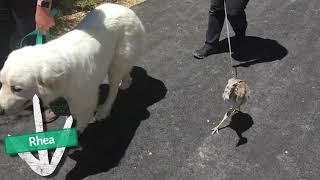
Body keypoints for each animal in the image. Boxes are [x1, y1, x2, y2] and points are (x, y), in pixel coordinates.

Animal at [0, 2, 145, 132]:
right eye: (1, 83)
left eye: (16, 89)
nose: (0, 110)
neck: (62, 74)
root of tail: (126, 10)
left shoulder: (82, 98)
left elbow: (80, 113)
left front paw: (76, 131)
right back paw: (126, 81)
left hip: (118, 60)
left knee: (113, 88)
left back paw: (104, 110)